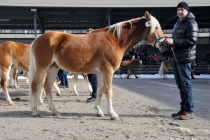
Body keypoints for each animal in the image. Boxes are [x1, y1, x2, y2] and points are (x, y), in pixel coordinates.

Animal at [29, 11, 167, 120]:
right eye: (156, 28)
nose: (165, 44)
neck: (114, 40)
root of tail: (36, 40)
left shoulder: (102, 72)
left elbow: (100, 90)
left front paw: (99, 111)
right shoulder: (108, 71)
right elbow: (109, 91)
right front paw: (112, 114)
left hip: (53, 68)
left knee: (47, 87)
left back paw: (55, 111)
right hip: (42, 68)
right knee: (35, 86)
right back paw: (35, 111)